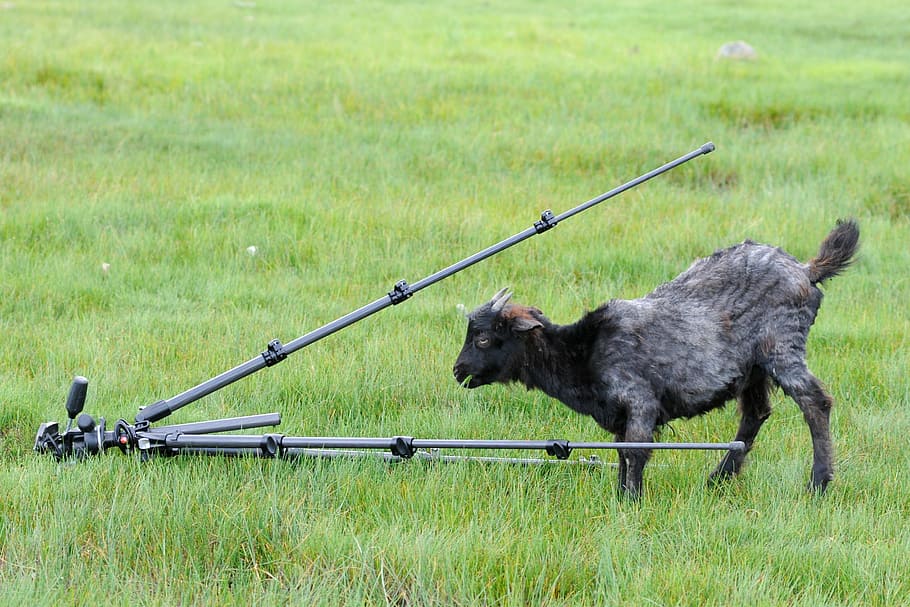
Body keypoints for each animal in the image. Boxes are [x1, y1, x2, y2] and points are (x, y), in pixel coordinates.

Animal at [453, 220, 859, 497]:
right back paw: (719, 479)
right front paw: (621, 495)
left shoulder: (640, 402)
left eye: (484, 338)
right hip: (753, 368)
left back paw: (818, 483)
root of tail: (807, 270)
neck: (582, 350)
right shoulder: (619, 415)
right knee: (756, 414)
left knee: (815, 402)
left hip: (782, 346)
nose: (458, 371)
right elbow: (621, 453)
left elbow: (635, 452)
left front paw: (630, 501)